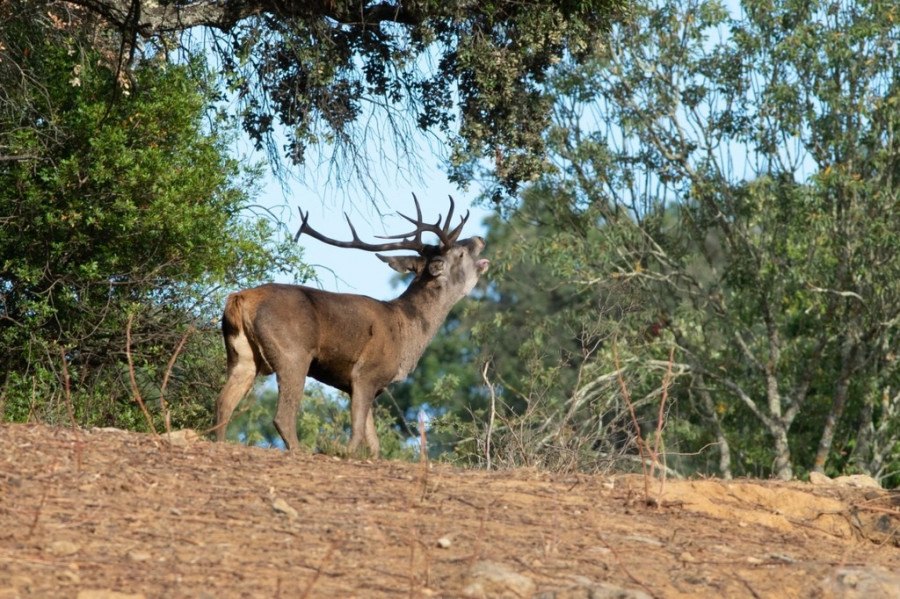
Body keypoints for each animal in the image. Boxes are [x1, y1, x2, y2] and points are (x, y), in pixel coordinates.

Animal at [214, 195, 488, 458]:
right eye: (461, 254)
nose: (480, 238)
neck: (406, 333)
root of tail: (239, 299)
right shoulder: (366, 373)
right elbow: (357, 435)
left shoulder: (363, 385)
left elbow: (374, 443)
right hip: (292, 353)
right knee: (282, 416)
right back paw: (299, 451)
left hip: (241, 356)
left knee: (223, 403)